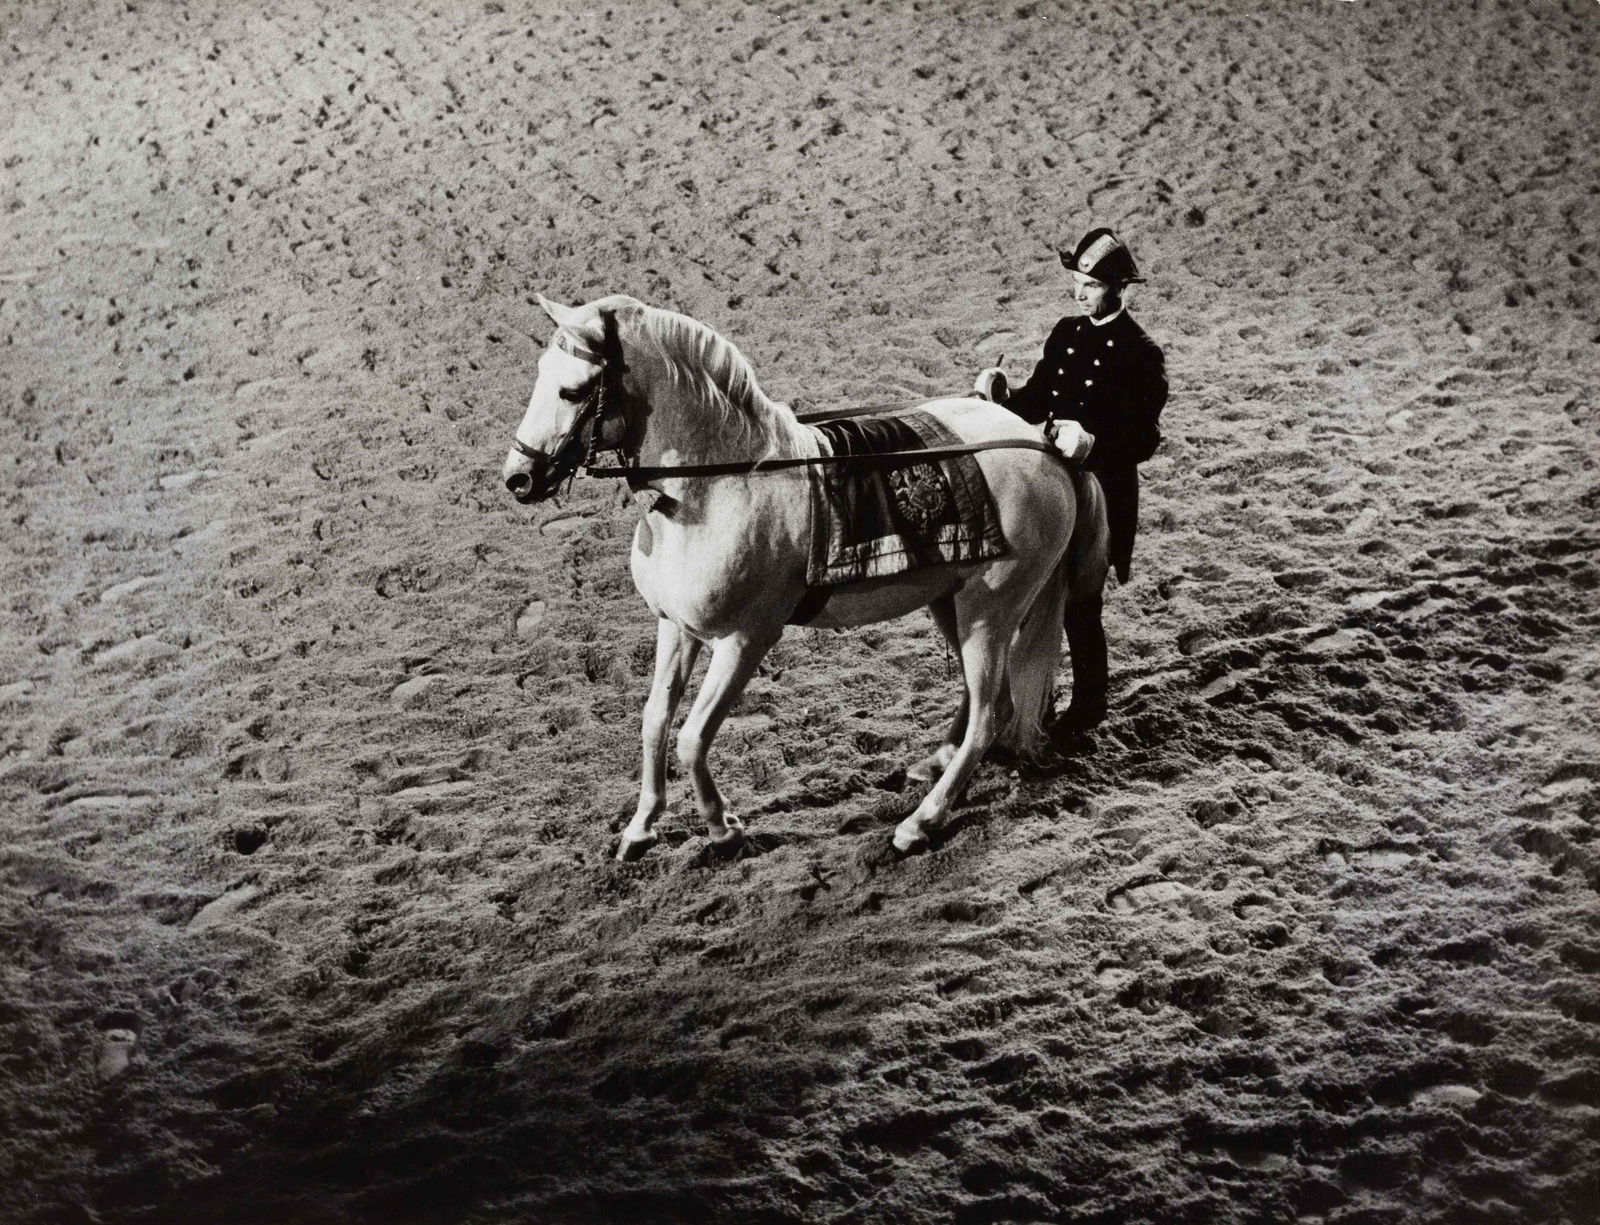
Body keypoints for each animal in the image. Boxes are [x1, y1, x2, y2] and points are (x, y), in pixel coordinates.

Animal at [501, 294, 1108, 859]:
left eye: (573, 391)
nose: (519, 478)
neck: (717, 488)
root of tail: (1048, 445)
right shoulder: (676, 627)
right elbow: (654, 722)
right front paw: (640, 829)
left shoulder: (746, 640)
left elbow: (693, 737)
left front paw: (723, 830)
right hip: (952, 602)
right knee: (982, 698)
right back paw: (935, 765)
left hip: (991, 609)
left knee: (992, 713)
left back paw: (919, 823)